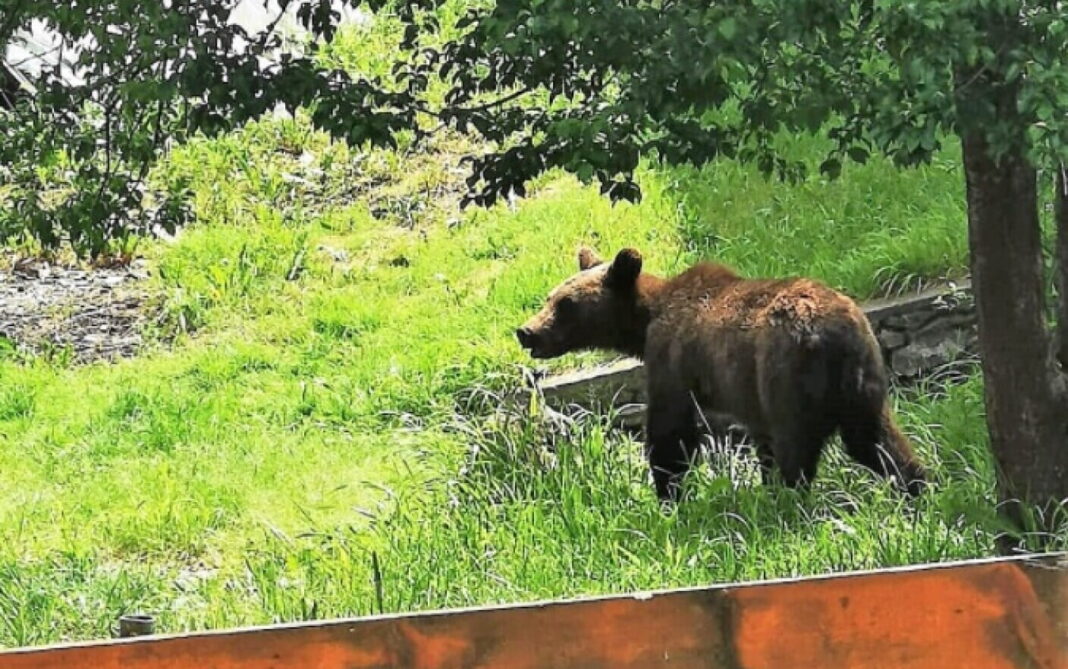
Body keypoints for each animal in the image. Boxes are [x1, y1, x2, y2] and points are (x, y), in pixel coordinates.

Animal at [516, 247, 927, 502]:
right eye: (550, 297)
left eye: (566, 304)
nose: (526, 331)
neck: (644, 322)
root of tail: (833, 335)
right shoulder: (749, 393)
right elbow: (759, 440)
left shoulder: (671, 361)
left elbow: (671, 433)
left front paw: (668, 495)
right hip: (863, 378)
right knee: (875, 440)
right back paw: (916, 486)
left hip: (788, 376)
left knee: (795, 446)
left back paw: (789, 503)